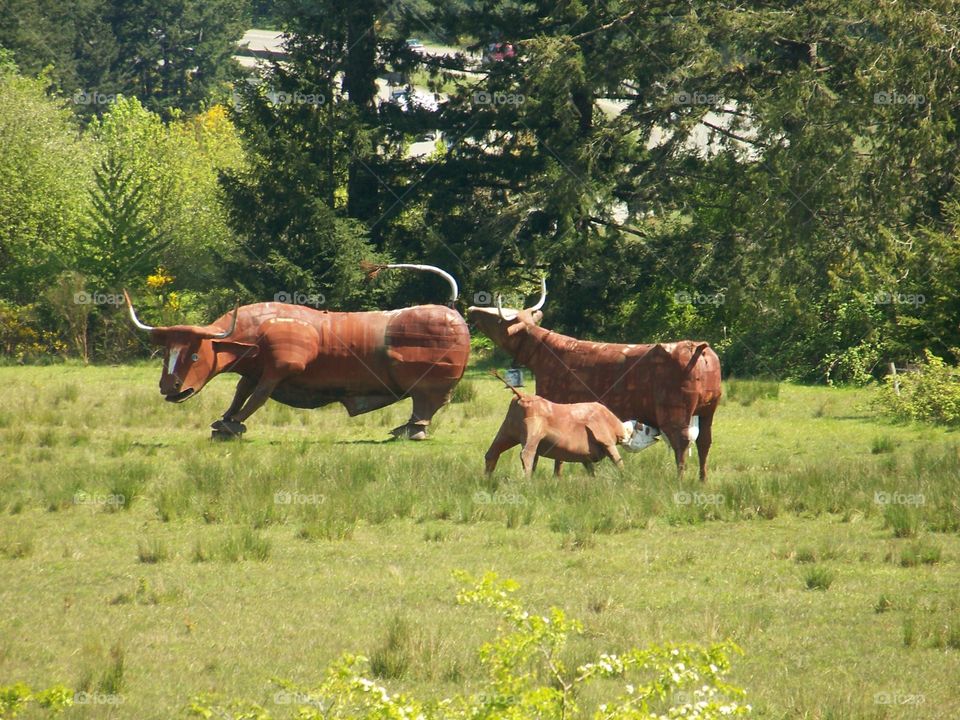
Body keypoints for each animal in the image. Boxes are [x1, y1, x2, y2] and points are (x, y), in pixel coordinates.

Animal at [124, 264, 470, 440]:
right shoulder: (255, 372)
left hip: (428, 386)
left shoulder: (280, 369)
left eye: (195, 355)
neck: (258, 331)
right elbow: (240, 393)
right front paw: (225, 420)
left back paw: (410, 431)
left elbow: (257, 398)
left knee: (425, 406)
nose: (169, 387)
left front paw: (231, 426)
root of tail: (450, 309)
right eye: (166, 353)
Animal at [485, 371, 630, 477]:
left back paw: (487, 479)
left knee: (492, 452)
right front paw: (623, 477)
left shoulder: (581, 455)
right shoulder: (606, 440)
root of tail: (522, 396)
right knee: (526, 454)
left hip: (507, 431)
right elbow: (618, 460)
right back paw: (526, 481)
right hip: (533, 432)